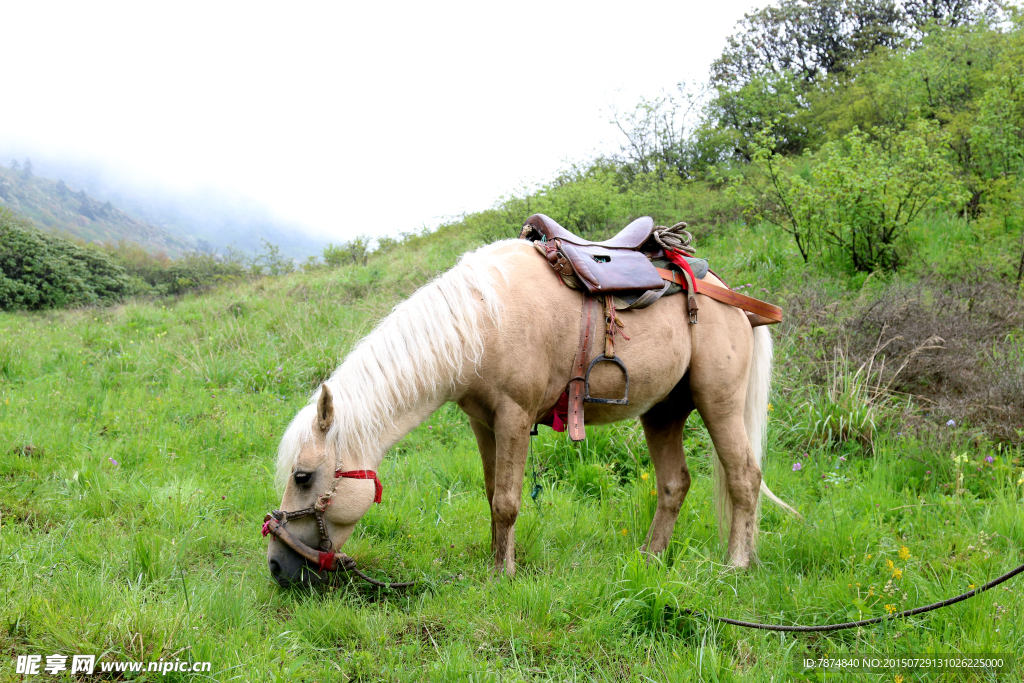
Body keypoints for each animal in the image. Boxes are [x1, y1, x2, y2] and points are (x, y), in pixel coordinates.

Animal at [266, 237, 798, 585]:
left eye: (303, 477)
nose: (275, 565)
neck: (483, 320)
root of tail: (732, 298)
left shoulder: (514, 418)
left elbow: (507, 501)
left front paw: (503, 575)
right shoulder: (482, 422)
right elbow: (491, 497)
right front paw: (495, 562)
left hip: (719, 402)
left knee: (744, 478)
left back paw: (736, 565)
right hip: (663, 411)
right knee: (673, 485)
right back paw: (648, 559)